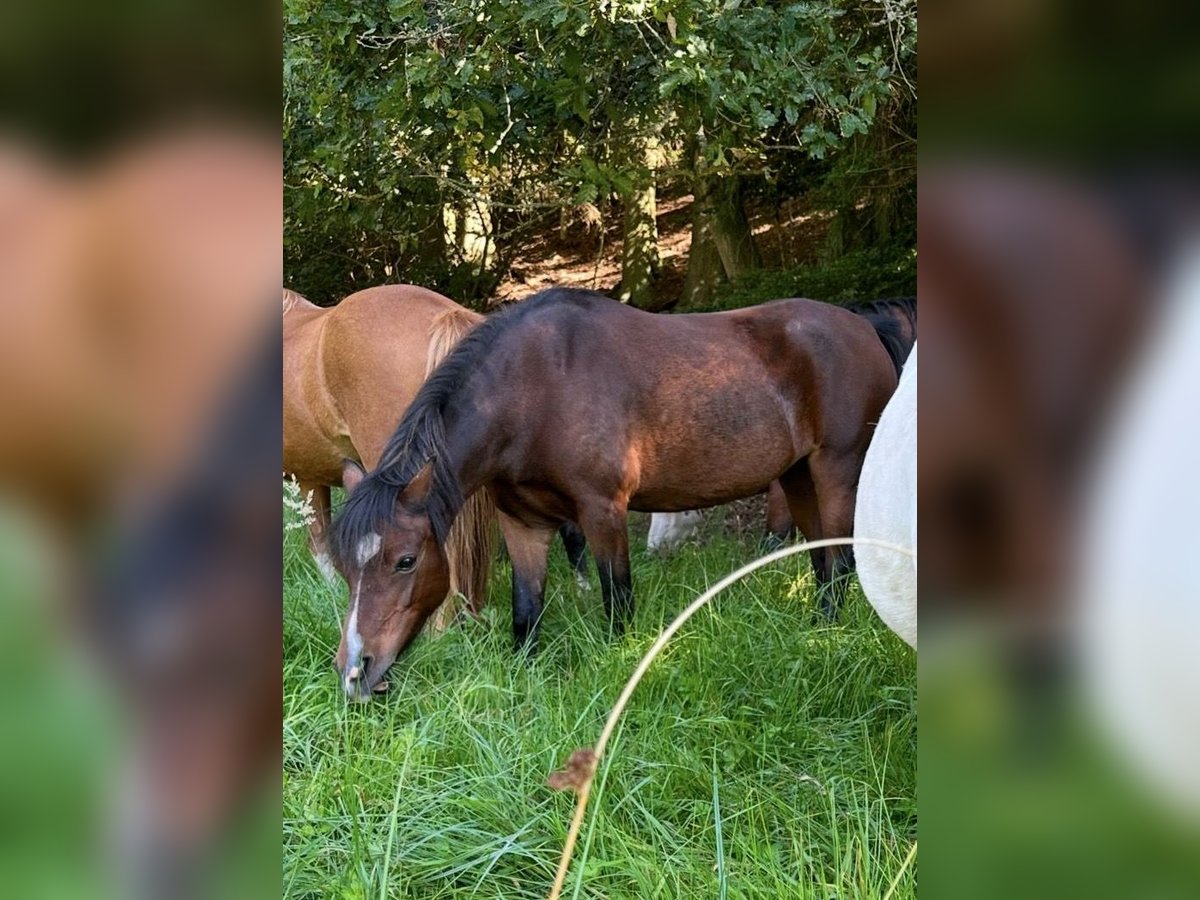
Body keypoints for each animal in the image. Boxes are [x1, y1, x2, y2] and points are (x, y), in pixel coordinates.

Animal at [328, 289, 902, 696]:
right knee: (823, 560)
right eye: (343, 567)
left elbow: (617, 602)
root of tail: (863, 328)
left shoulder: (603, 512)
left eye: (405, 560)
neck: (535, 387)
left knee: (842, 561)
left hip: (836, 471)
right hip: (798, 476)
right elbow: (526, 612)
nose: (355, 672)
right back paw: (815, 631)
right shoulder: (523, 524)